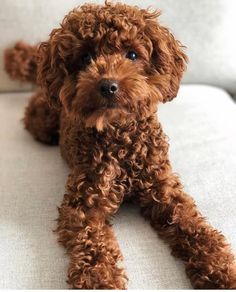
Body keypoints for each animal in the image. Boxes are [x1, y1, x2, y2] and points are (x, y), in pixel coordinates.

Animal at [4, 1, 236, 290]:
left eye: (132, 55)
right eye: (86, 58)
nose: (108, 86)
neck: (119, 136)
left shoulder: (163, 189)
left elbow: (192, 225)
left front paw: (220, 267)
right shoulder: (84, 204)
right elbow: (92, 243)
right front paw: (99, 279)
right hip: (43, 117)